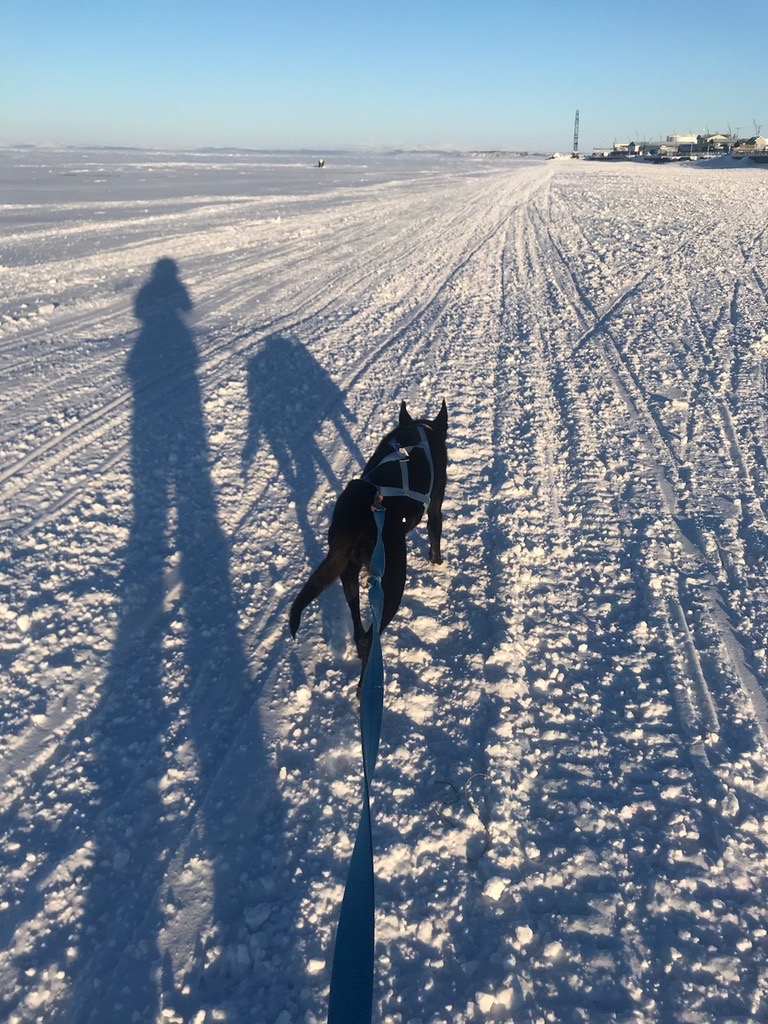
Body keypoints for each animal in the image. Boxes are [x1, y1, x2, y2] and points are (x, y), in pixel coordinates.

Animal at [292, 395, 450, 659]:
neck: (419, 430)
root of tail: (355, 517)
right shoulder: (436, 506)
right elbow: (435, 535)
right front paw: (437, 562)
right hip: (393, 581)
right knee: (370, 634)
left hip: (348, 574)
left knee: (359, 632)